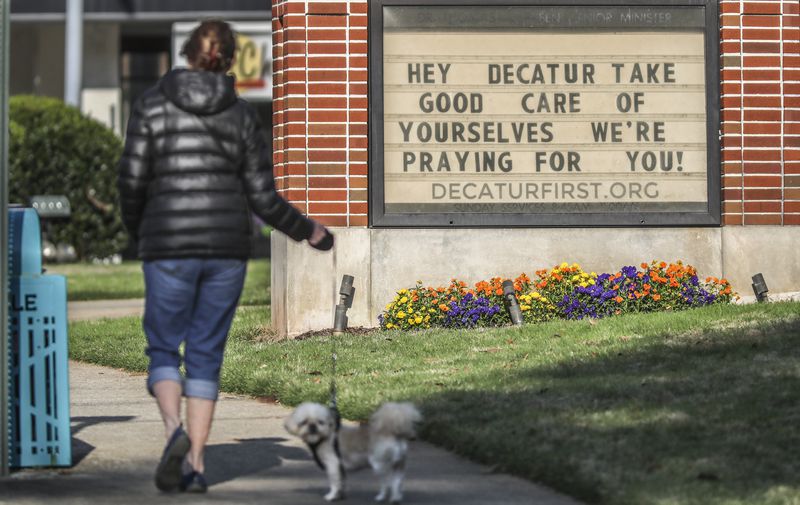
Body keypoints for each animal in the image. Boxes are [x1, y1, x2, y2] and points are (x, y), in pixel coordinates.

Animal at [286, 402, 424, 500]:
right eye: (303, 422)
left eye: (321, 422)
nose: (312, 426)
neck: (324, 437)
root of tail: (391, 432)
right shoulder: (340, 468)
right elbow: (341, 482)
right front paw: (340, 495)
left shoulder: (332, 465)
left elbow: (334, 483)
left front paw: (332, 496)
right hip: (399, 465)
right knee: (396, 482)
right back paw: (396, 498)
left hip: (379, 464)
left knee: (387, 483)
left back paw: (381, 497)